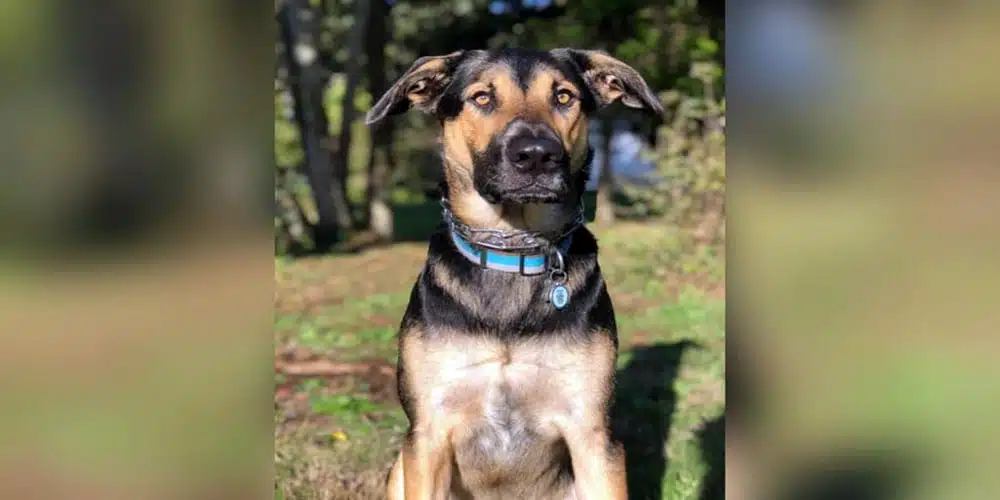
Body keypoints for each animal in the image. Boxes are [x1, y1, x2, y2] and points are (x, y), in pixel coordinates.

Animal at [366, 47, 664, 500]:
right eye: (482, 98)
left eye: (563, 96)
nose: (536, 155)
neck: (512, 249)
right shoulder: (428, 434)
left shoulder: (594, 435)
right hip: (401, 467)